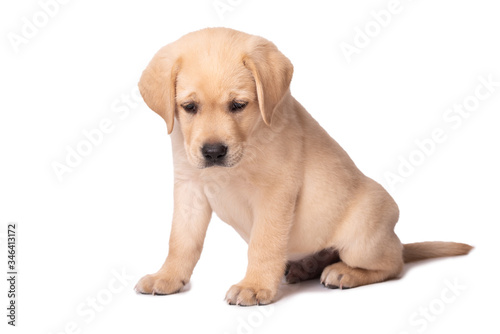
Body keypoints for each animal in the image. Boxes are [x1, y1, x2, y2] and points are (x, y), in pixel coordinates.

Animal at [134, 28, 472, 306]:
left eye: (238, 105)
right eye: (189, 107)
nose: (214, 152)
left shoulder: (275, 192)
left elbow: (264, 244)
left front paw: (255, 286)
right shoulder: (189, 188)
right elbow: (181, 240)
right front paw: (167, 277)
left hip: (363, 242)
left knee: (394, 262)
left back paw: (345, 272)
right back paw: (307, 266)